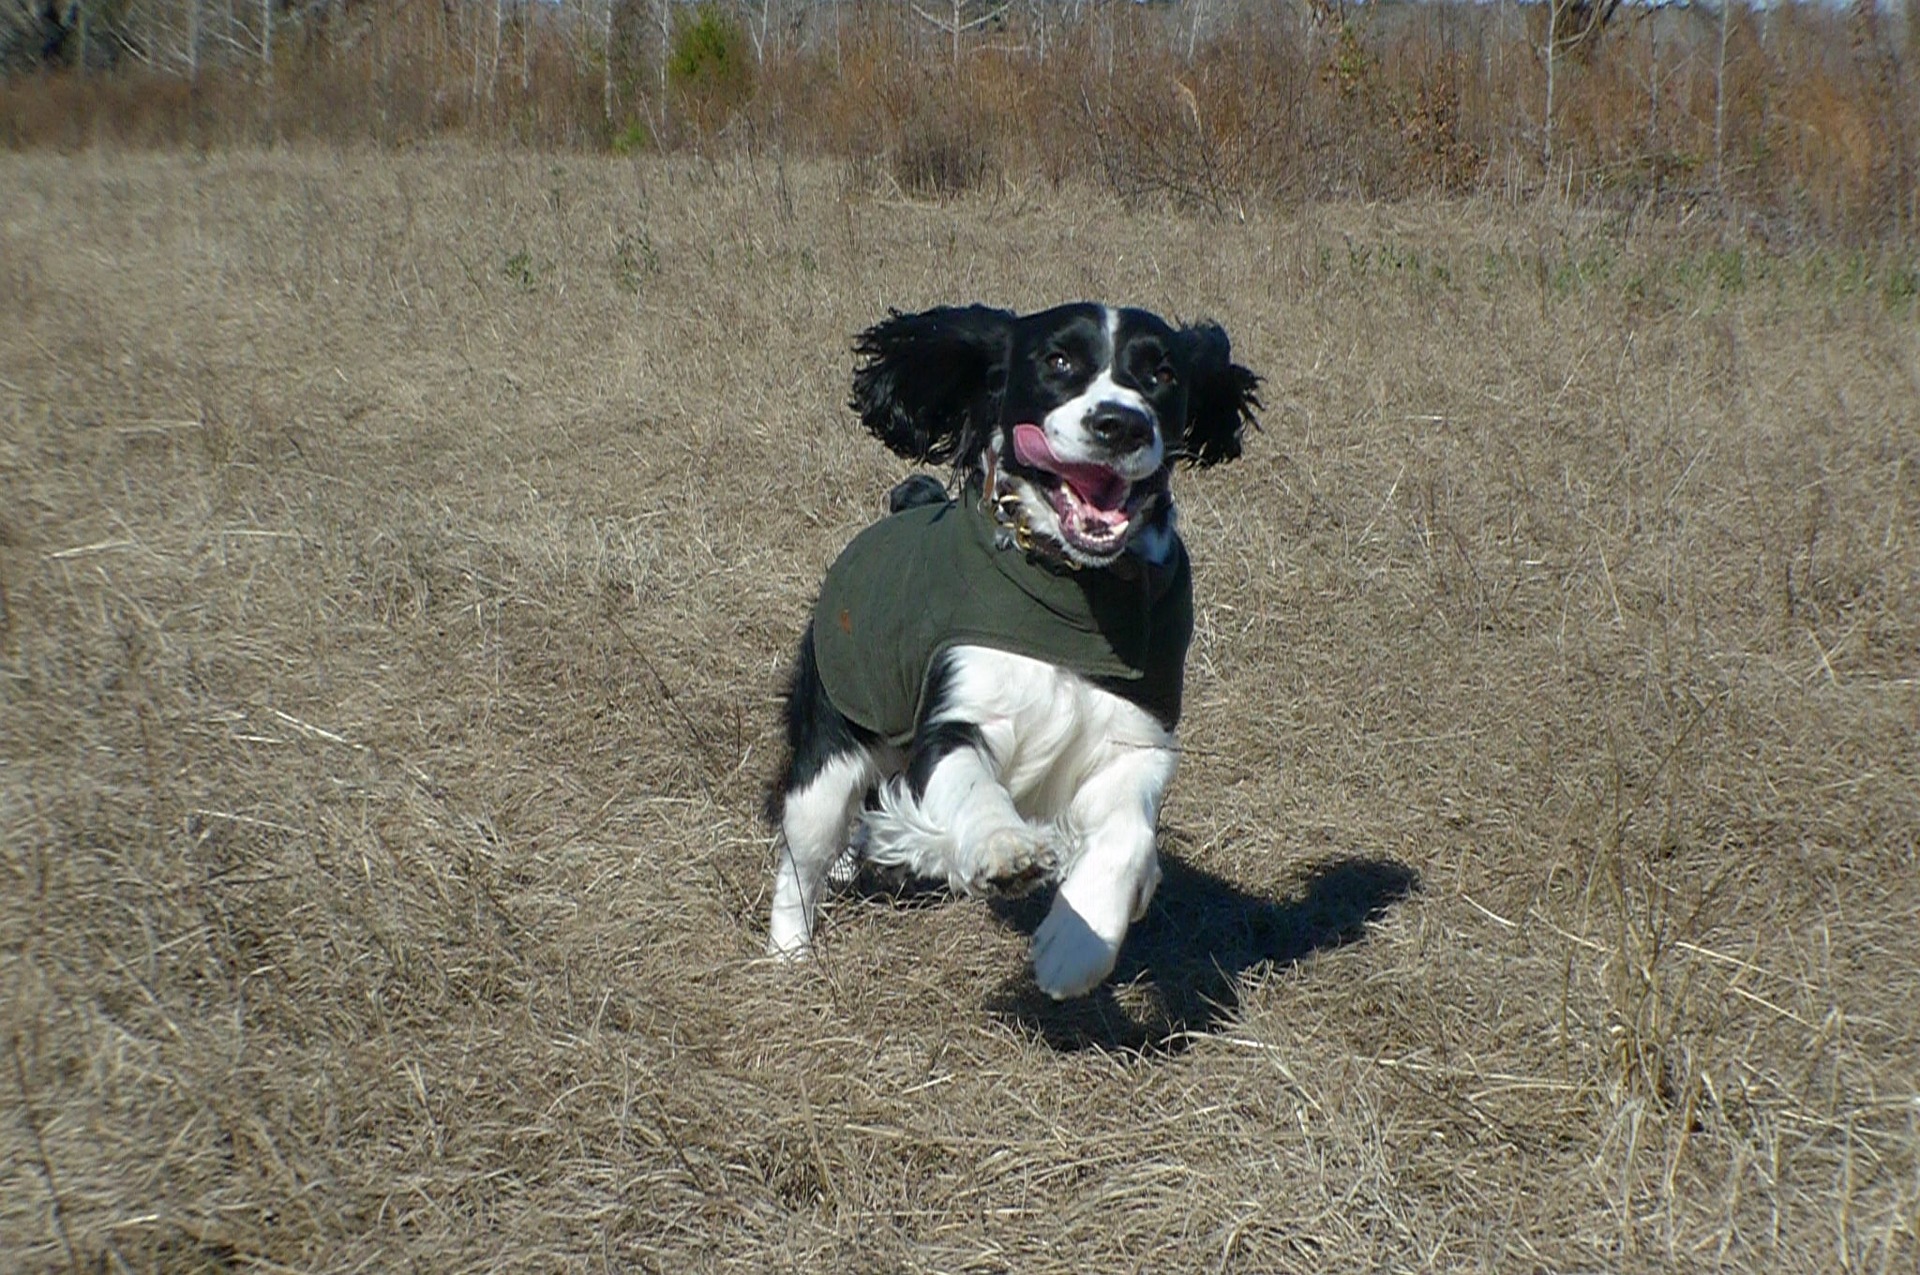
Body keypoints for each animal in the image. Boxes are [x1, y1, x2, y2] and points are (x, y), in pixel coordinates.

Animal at [764, 303, 1259, 998]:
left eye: (1162, 372)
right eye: (1058, 361)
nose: (1120, 423)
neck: (1068, 591)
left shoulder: (1137, 737)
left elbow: (1129, 834)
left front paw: (1076, 945)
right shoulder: (957, 715)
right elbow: (974, 784)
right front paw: (1006, 851)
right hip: (831, 744)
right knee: (802, 852)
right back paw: (790, 953)